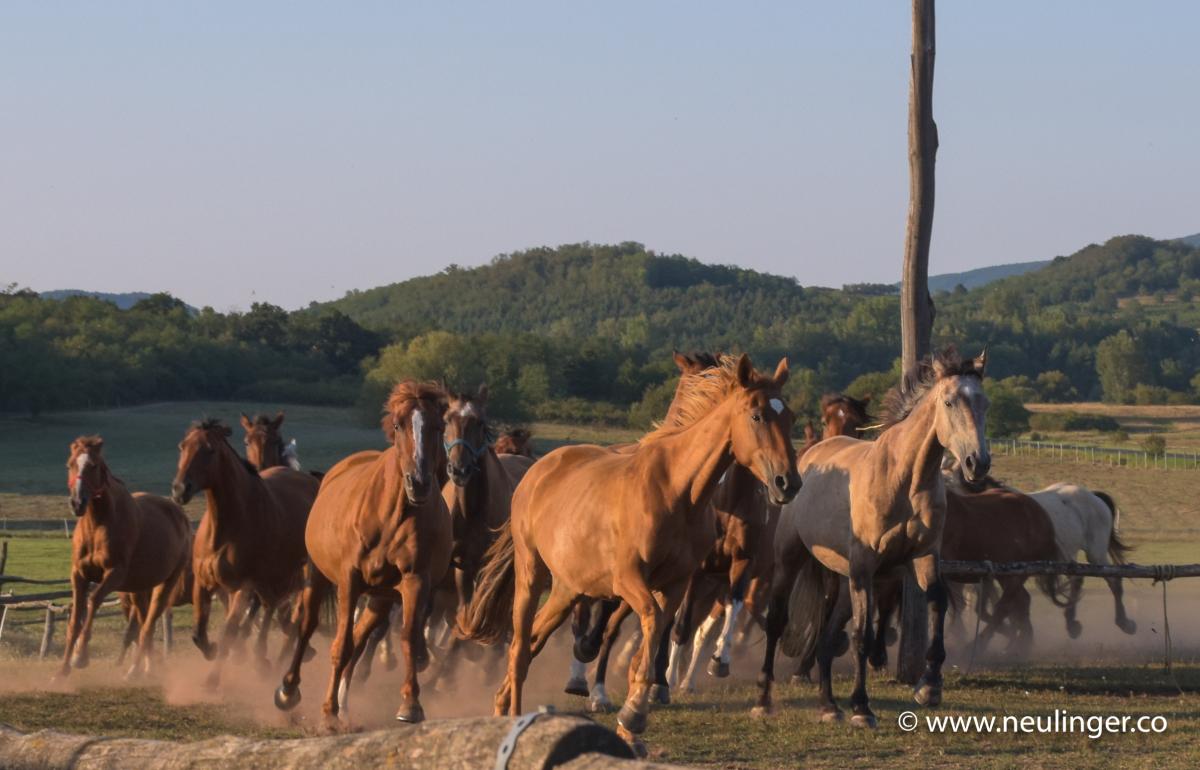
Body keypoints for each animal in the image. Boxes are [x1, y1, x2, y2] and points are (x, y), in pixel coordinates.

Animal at [59, 436, 191, 679]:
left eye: (93, 465)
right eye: (69, 464)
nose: (77, 503)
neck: (97, 526)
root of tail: (181, 517)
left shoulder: (114, 574)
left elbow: (93, 601)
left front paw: (80, 657)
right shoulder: (79, 575)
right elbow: (74, 621)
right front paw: (61, 672)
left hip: (164, 585)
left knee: (147, 626)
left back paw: (135, 671)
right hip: (139, 589)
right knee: (142, 625)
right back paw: (144, 667)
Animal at [171, 419, 320, 686]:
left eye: (209, 450)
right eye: (182, 446)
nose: (179, 490)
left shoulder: (243, 586)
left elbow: (230, 630)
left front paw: (212, 679)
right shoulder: (203, 582)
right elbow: (199, 632)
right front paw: (214, 651)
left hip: (298, 573)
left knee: (288, 610)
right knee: (272, 606)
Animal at [274, 380, 452, 728]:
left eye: (438, 426)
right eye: (398, 425)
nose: (419, 483)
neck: (390, 515)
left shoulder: (414, 581)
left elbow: (408, 638)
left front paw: (411, 704)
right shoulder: (349, 579)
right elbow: (340, 645)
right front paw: (327, 712)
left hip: (381, 598)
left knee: (359, 638)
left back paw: (344, 703)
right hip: (319, 575)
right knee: (308, 626)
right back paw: (289, 691)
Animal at [459, 353, 800, 753]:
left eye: (791, 417)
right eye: (757, 416)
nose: (788, 483)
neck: (676, 491)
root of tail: (537, 470)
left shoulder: (675, 584)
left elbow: (651, 643)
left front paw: (632, 728)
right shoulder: (629, 580)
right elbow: (648, 626)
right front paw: (634, 714)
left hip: (567, 589)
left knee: (532, 641)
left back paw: (501, 708)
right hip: (531, 575)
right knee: (518, 649)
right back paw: (513, 716)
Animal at [754, 347, 989, 727]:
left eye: (985, 402)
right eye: (950, 402)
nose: (977, 464)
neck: (905, 479)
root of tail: (807, 460)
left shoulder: (924, 555)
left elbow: (937, 604)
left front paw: (929, 687)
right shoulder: (866, 567)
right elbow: (862, 636)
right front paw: (862, 707)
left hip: (842, 579)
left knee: (827, 635)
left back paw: (828, 706)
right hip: (791, 559)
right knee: (777, 621)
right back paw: (763, 699)